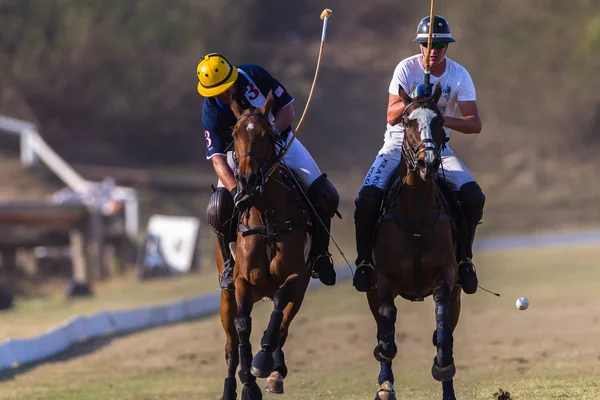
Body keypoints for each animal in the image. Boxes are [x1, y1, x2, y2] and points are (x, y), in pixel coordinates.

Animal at [219, 90, 314, 400]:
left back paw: (275, 369)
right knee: (230, 345)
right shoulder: (241, 282)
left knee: (283, 323)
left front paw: (263, 363)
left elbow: (281, 304)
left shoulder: (298, 276)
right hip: (225, 295)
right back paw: (230, 388)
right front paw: (248, 383)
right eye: (234, 134)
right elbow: (242, 325)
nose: (247, 180)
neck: (267, 219)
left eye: (266, 134)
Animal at [366, 83, 460, 398]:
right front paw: (385, 376)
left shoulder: (447, 275)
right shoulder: (382, 281)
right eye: (407, 122)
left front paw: (442, 365)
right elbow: (386, 326)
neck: (416, 214)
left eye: (439, 121)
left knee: (448, 328)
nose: (427, 163)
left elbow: (442, 322)